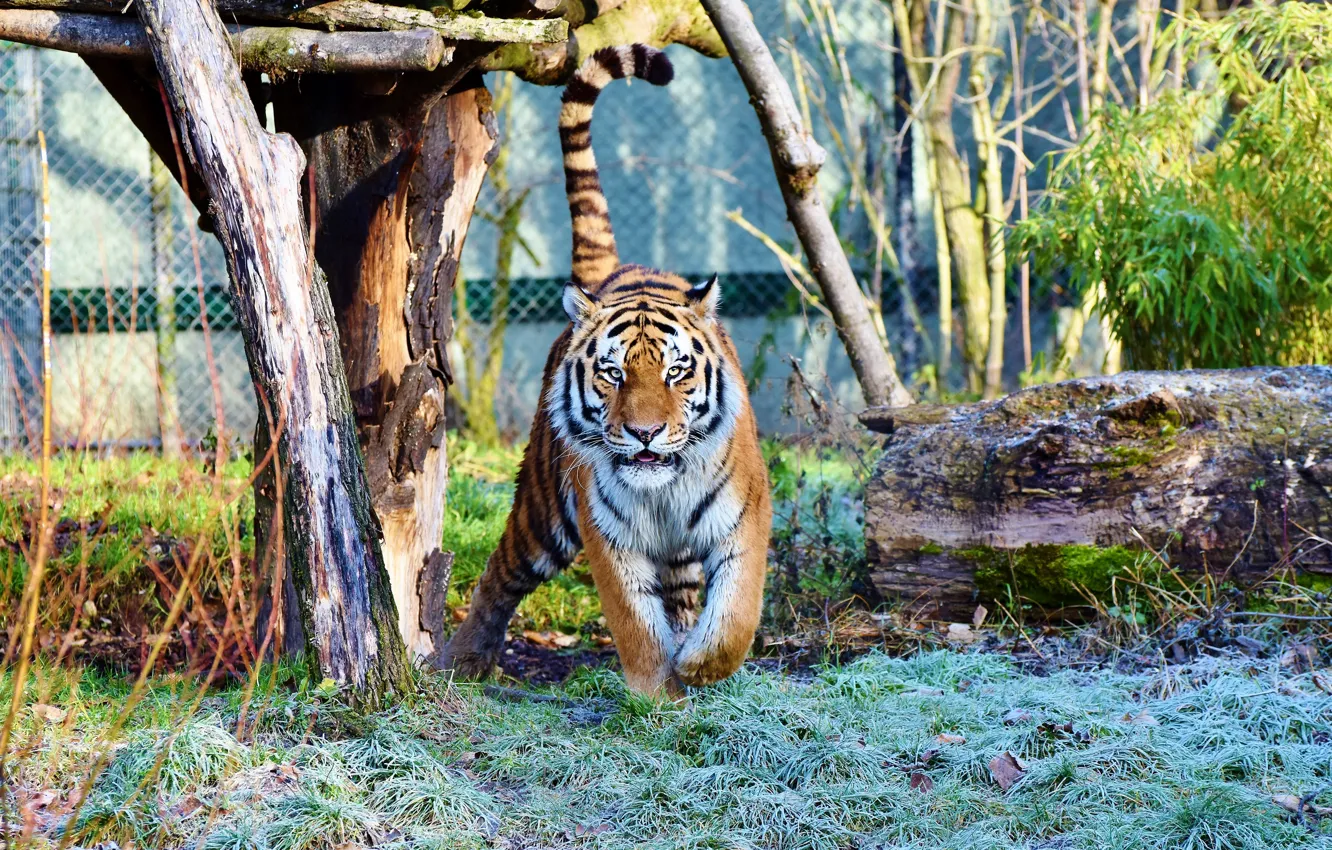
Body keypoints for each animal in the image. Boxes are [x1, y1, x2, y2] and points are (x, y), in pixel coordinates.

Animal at [439, 44, 772, 696]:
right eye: (613, 375)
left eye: (676, 373)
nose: (644, 433)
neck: (664, 491)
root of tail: (614, 271)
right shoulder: (607, 534)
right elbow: (634, 623)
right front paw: (654, 692)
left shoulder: (745, 515)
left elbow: (736, 613)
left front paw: (699, 665)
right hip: (542, 511)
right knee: (499, 573)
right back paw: (463, 659)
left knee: (684, 595)